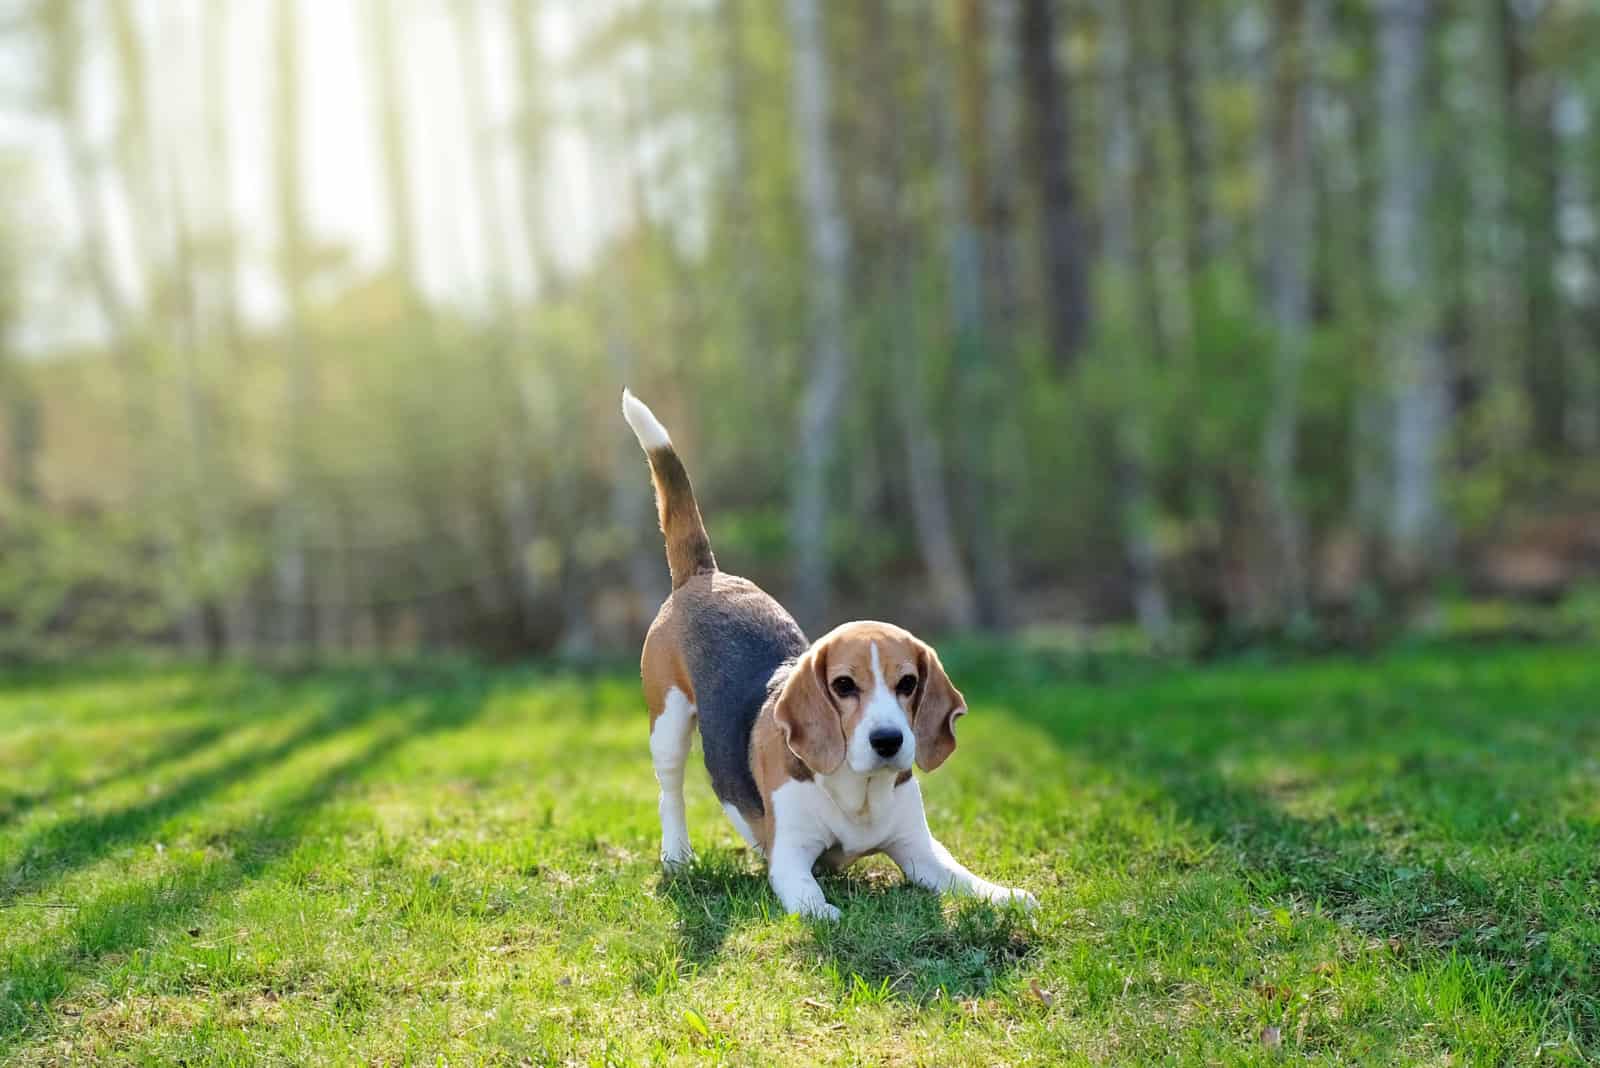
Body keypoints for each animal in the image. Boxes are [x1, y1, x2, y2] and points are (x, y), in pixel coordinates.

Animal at [617, 388, 1030, 920]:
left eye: (908, 684)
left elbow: (964, 877)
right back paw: (677, 855)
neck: (859, 792)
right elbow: (810, 897)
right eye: (843, 686)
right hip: (666, 721)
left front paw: (1006, 895)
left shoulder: (921, 853)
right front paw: (828, 914)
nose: (888, 741)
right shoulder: (790, 856)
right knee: (669, 791)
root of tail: (704, 574)